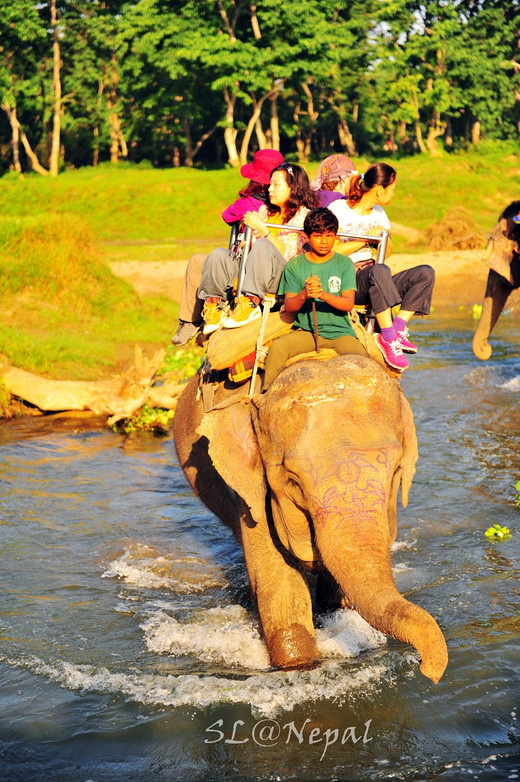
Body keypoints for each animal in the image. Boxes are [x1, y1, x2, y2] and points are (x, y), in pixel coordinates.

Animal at [173, 352, 448, 684]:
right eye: (293, 482)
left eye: (396, 471)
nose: (427, 671)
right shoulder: (251, 487)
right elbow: (281, 586)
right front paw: (299, 666)